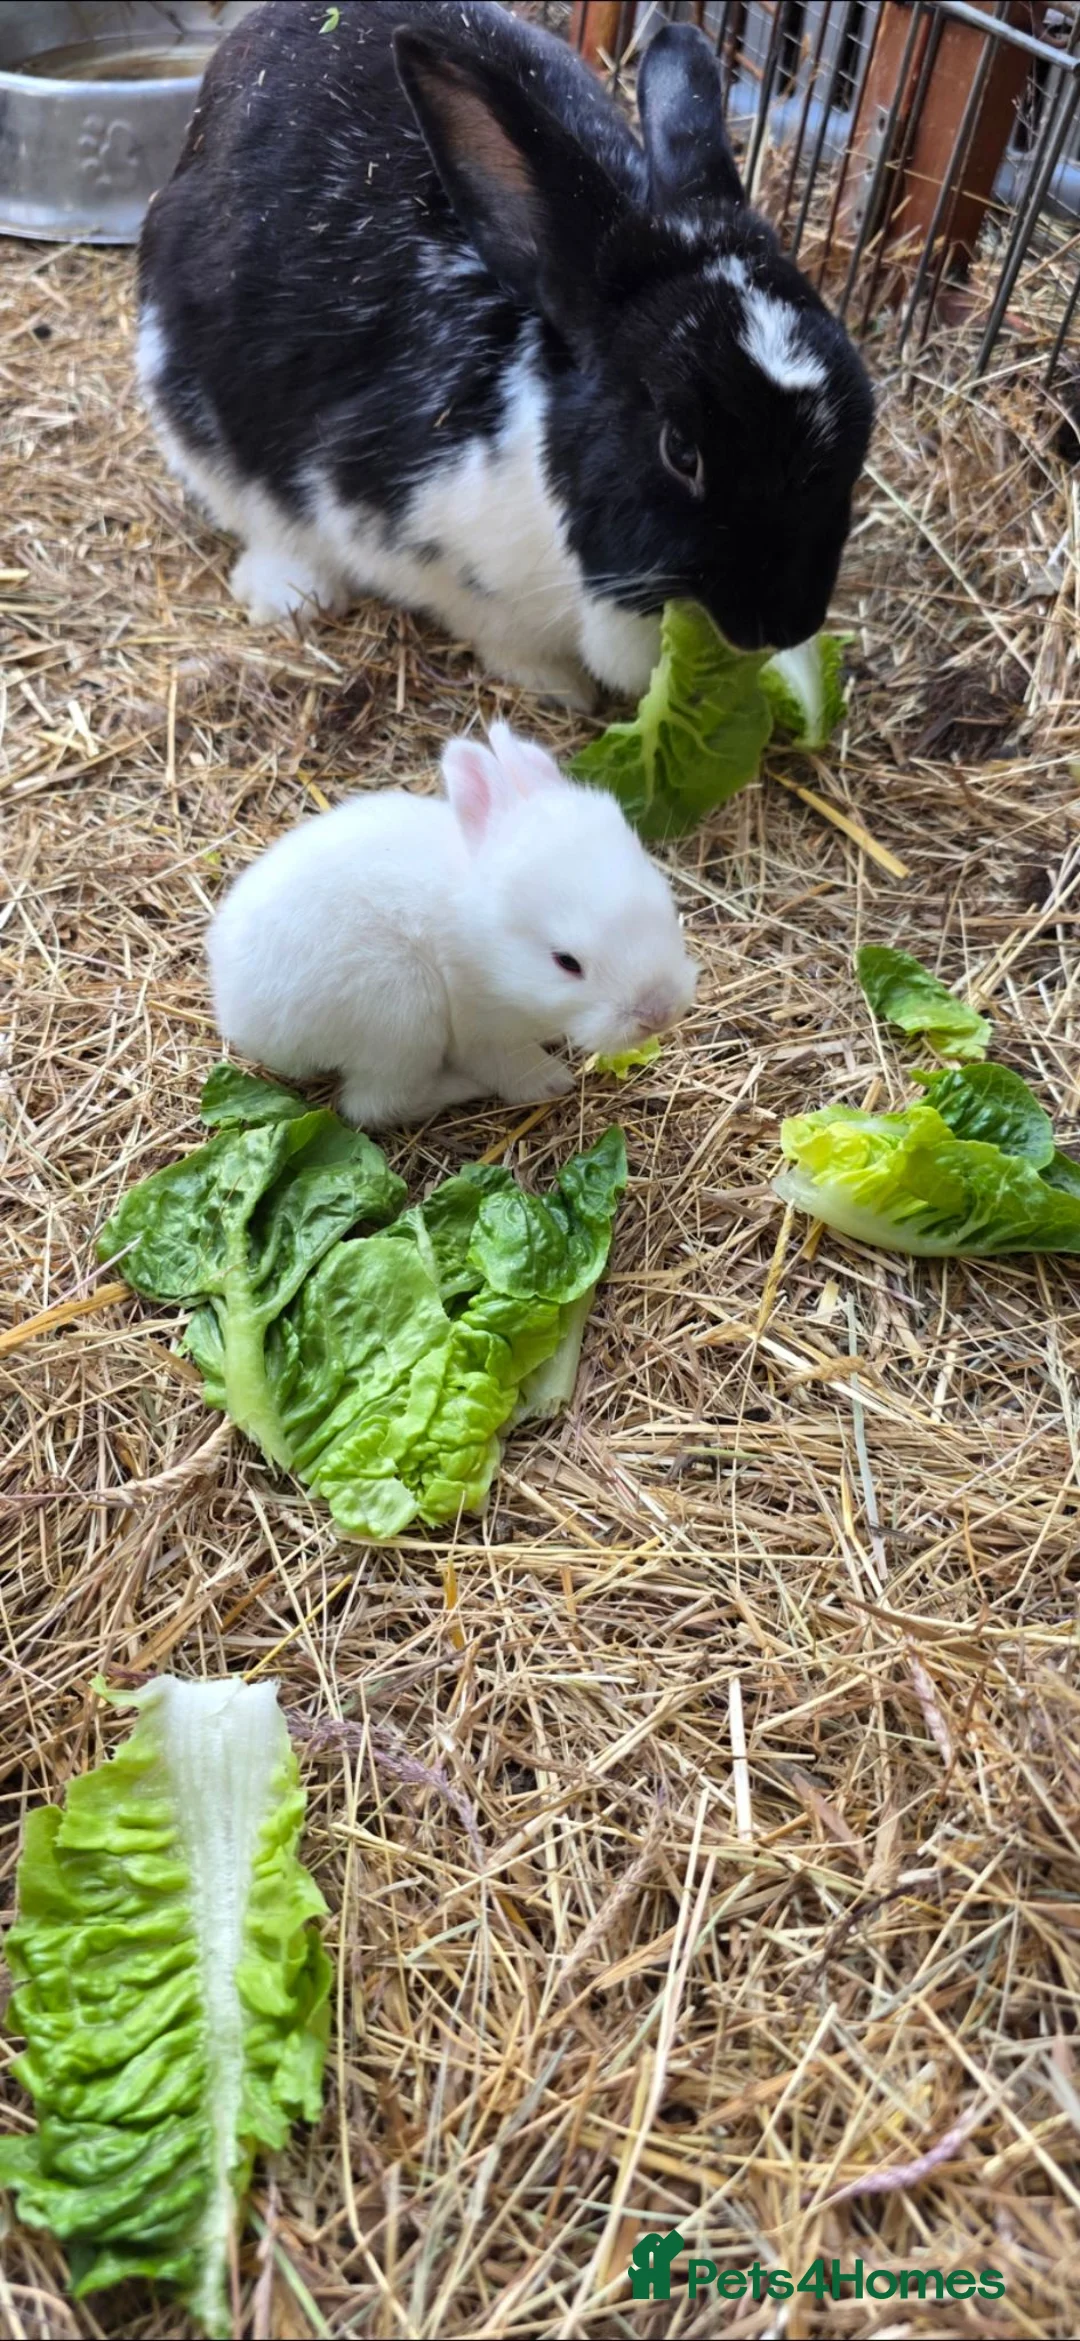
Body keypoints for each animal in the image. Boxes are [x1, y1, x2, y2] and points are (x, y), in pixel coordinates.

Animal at [137, 3, 874, 708]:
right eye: (680, 452)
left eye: (862, 420)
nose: (785, 624)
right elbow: (496, 630)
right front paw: (559, 689)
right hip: (192, 411)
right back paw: (291, 594)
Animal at [206, 722, 699, 1129]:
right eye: (566, 963)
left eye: (663, 900)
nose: (658, 1013)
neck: (489, 945)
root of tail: (239, 1015)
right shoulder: (478, 1022)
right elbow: (507, 1063)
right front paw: (549, 1081)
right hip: (401, 1017)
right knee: (373, 1106)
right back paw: (461, 1088)